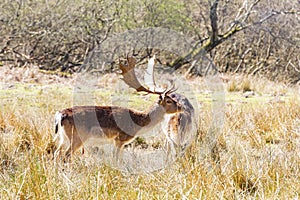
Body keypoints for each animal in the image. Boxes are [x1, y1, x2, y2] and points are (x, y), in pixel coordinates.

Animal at [52, 55, 182, 162]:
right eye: (169, 100)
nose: (180, 106)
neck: (138, 122)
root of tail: (60, 115)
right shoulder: (120, 138)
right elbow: (116, 159)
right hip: (77, 136)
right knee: (66, 155)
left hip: (63, 137)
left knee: (56, 153)